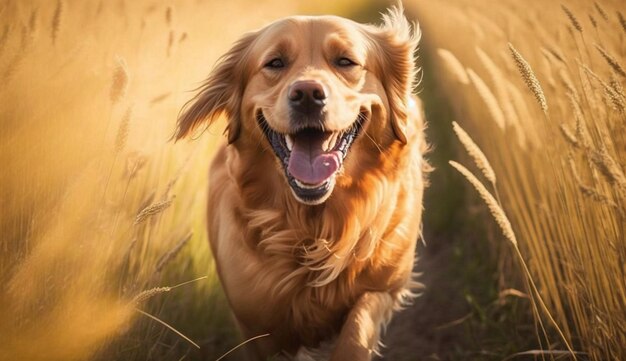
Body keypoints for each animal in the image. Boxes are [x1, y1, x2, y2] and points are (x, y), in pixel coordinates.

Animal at [176, 5, 426, 360]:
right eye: (275, 63)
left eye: (346, 61)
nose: (308, 94)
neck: (313, 226)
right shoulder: (259, 325)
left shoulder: (384, 285)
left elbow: (357, 326)